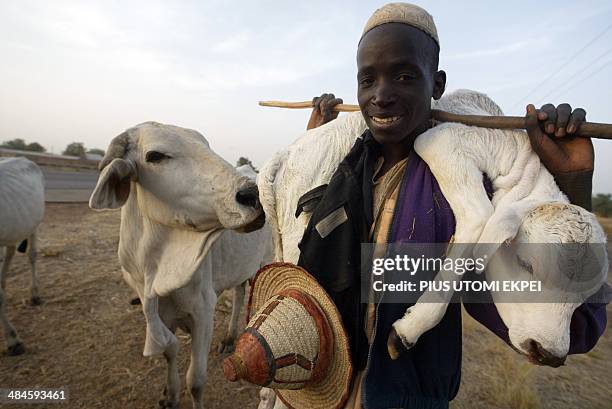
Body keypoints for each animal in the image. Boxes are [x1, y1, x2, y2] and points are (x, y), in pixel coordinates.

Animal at [89, 122, 272, 408]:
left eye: (207, 146)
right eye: (154, 156)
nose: (252, 195)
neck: (154, 269)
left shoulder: (203, 311)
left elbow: (195, 380)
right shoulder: (160, 313)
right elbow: (169, 350)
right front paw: (170, 394)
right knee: (240, 293)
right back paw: (230, 338)